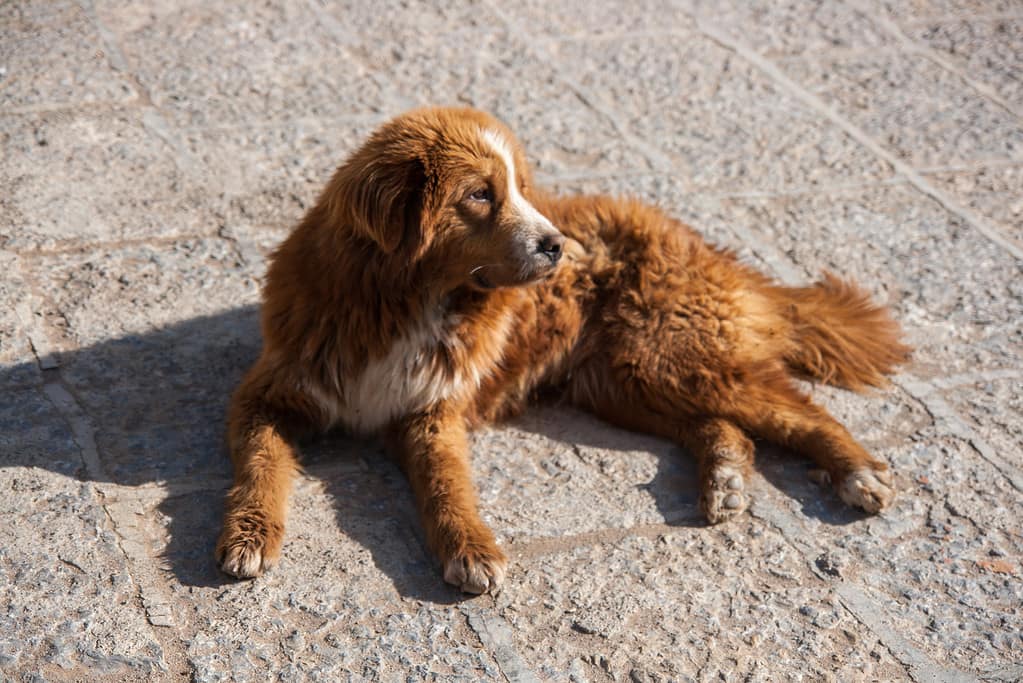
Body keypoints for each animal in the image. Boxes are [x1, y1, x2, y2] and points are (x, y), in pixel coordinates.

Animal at [217, 105, 912, 593]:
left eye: (524, 189)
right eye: (480, 194)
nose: (559, 247)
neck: (402, 301)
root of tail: (702, 243)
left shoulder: (432, 412)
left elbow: (448, 486)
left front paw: (471, 548)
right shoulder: (271, 392)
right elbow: (261, 465)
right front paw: (249, 533)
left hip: (670, 358)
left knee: (799, 409)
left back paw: (857, 471)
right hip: (623, 382)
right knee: (724, 427)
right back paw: (725, 478)